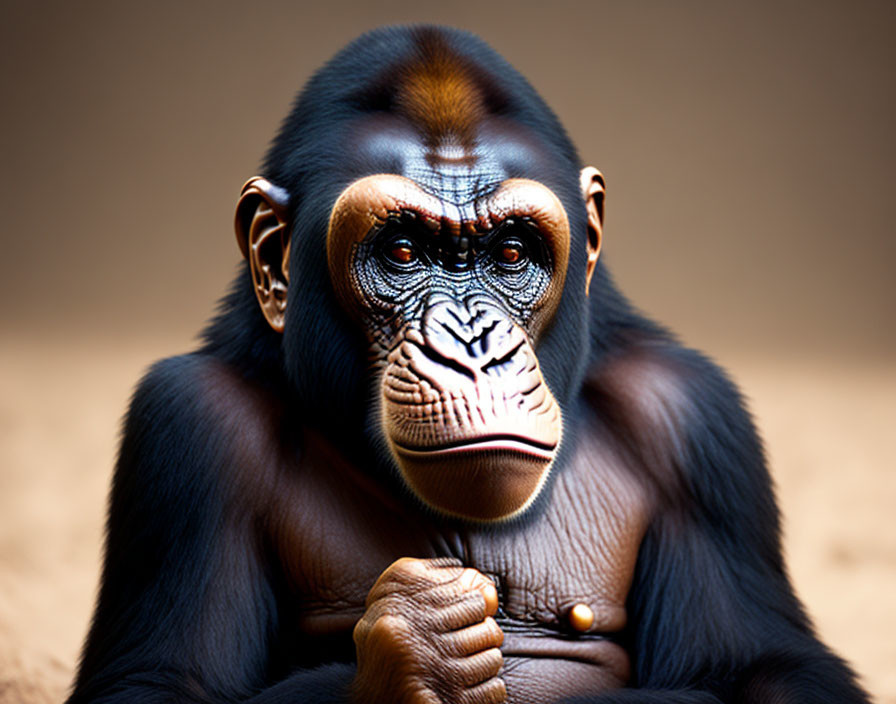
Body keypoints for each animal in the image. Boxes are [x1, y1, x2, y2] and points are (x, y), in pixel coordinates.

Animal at [66, 23, 872, 704]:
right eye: (401, 251)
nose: (473, 348)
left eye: (510, 252)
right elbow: (160, 680)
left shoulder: (693, 422)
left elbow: (767, 668)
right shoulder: (188, 428)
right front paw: (418, 642)